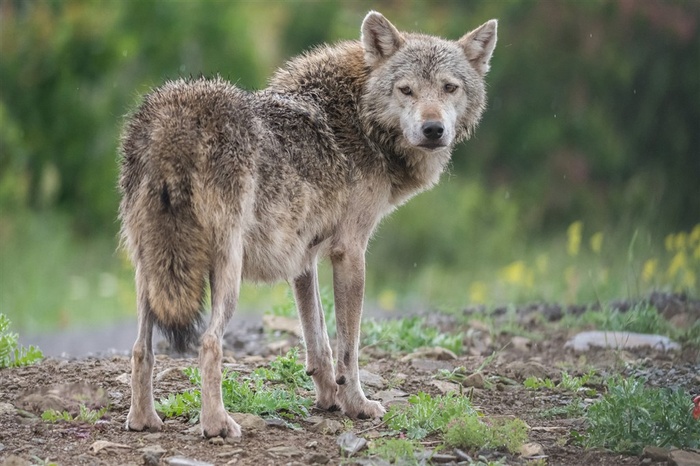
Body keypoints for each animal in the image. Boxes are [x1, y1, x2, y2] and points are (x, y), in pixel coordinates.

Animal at [117, 11, 494, 440]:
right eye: (406, 90)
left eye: (449, 88)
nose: (433, 129)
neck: (359, 118)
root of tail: (176, 118)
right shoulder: (350, 252)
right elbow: (348, 347)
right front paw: (357, 405)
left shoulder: (304, 258)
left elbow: (319, 341)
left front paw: (329, 398)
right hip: (225, 275)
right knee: (209, 343)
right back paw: (217, 425)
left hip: (151, 272)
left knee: (141, 349)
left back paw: (143, 420)